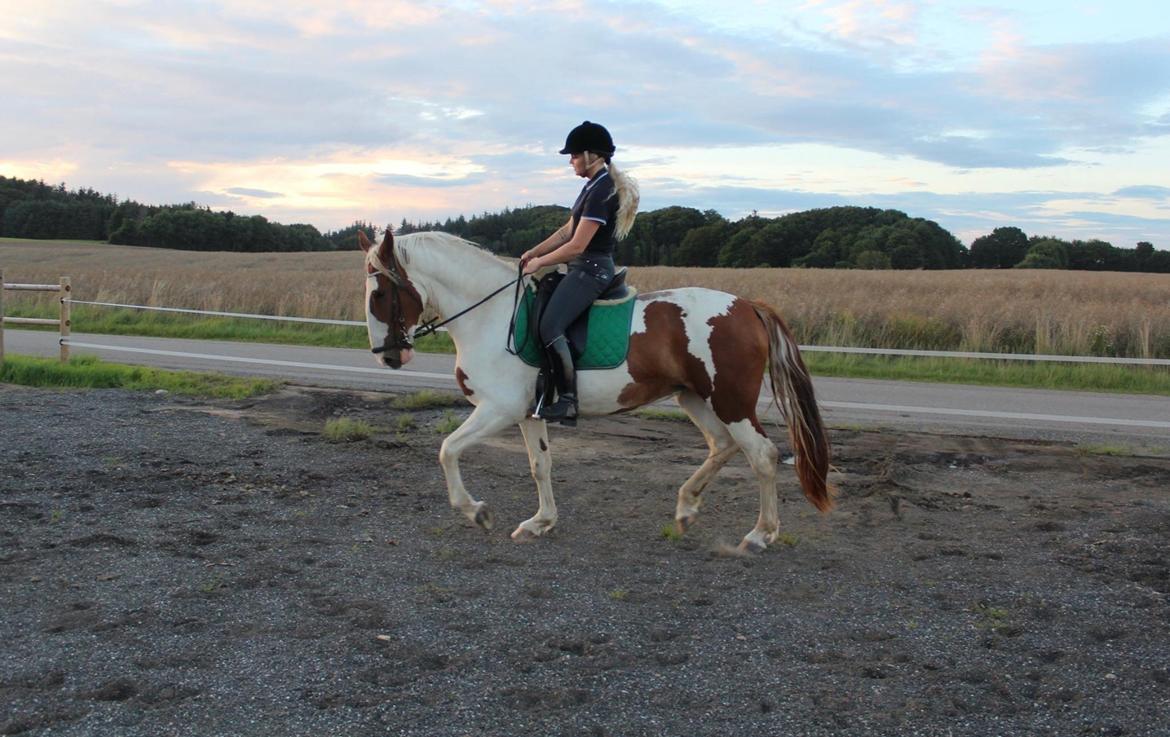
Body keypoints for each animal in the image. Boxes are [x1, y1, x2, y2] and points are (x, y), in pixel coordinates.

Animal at [355, 228, 833, 552]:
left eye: (378, 294)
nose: (386, 356)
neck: (489, 314)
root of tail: (746, 305)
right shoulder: (528, 413)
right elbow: (540, 466)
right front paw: (540, 522)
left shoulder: (499, 409)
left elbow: (447, 450)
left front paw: (478, 512)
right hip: (693, 397)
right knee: (722, 446)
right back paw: (685, 509)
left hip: (730, 400)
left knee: (763, 456)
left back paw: (759, 534)